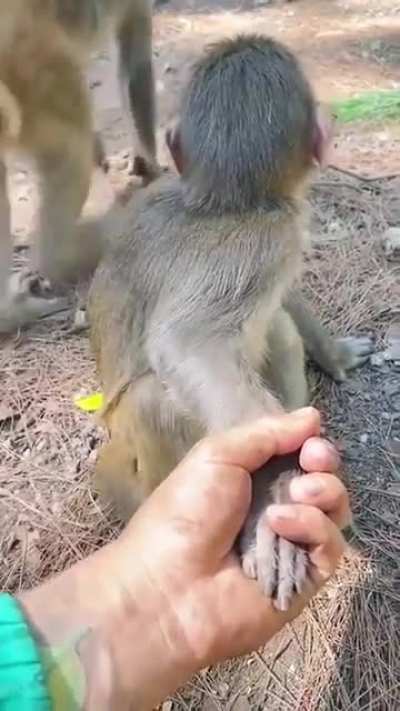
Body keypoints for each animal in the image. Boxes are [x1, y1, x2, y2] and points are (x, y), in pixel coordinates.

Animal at [88, 34, 373, 611]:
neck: (220, 202)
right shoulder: (272, 234)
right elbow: (189, 344)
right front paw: (272, 498)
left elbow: (284, 299)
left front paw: (332, 353)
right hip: (136, 470)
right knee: (155, 400)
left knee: (277, 330)